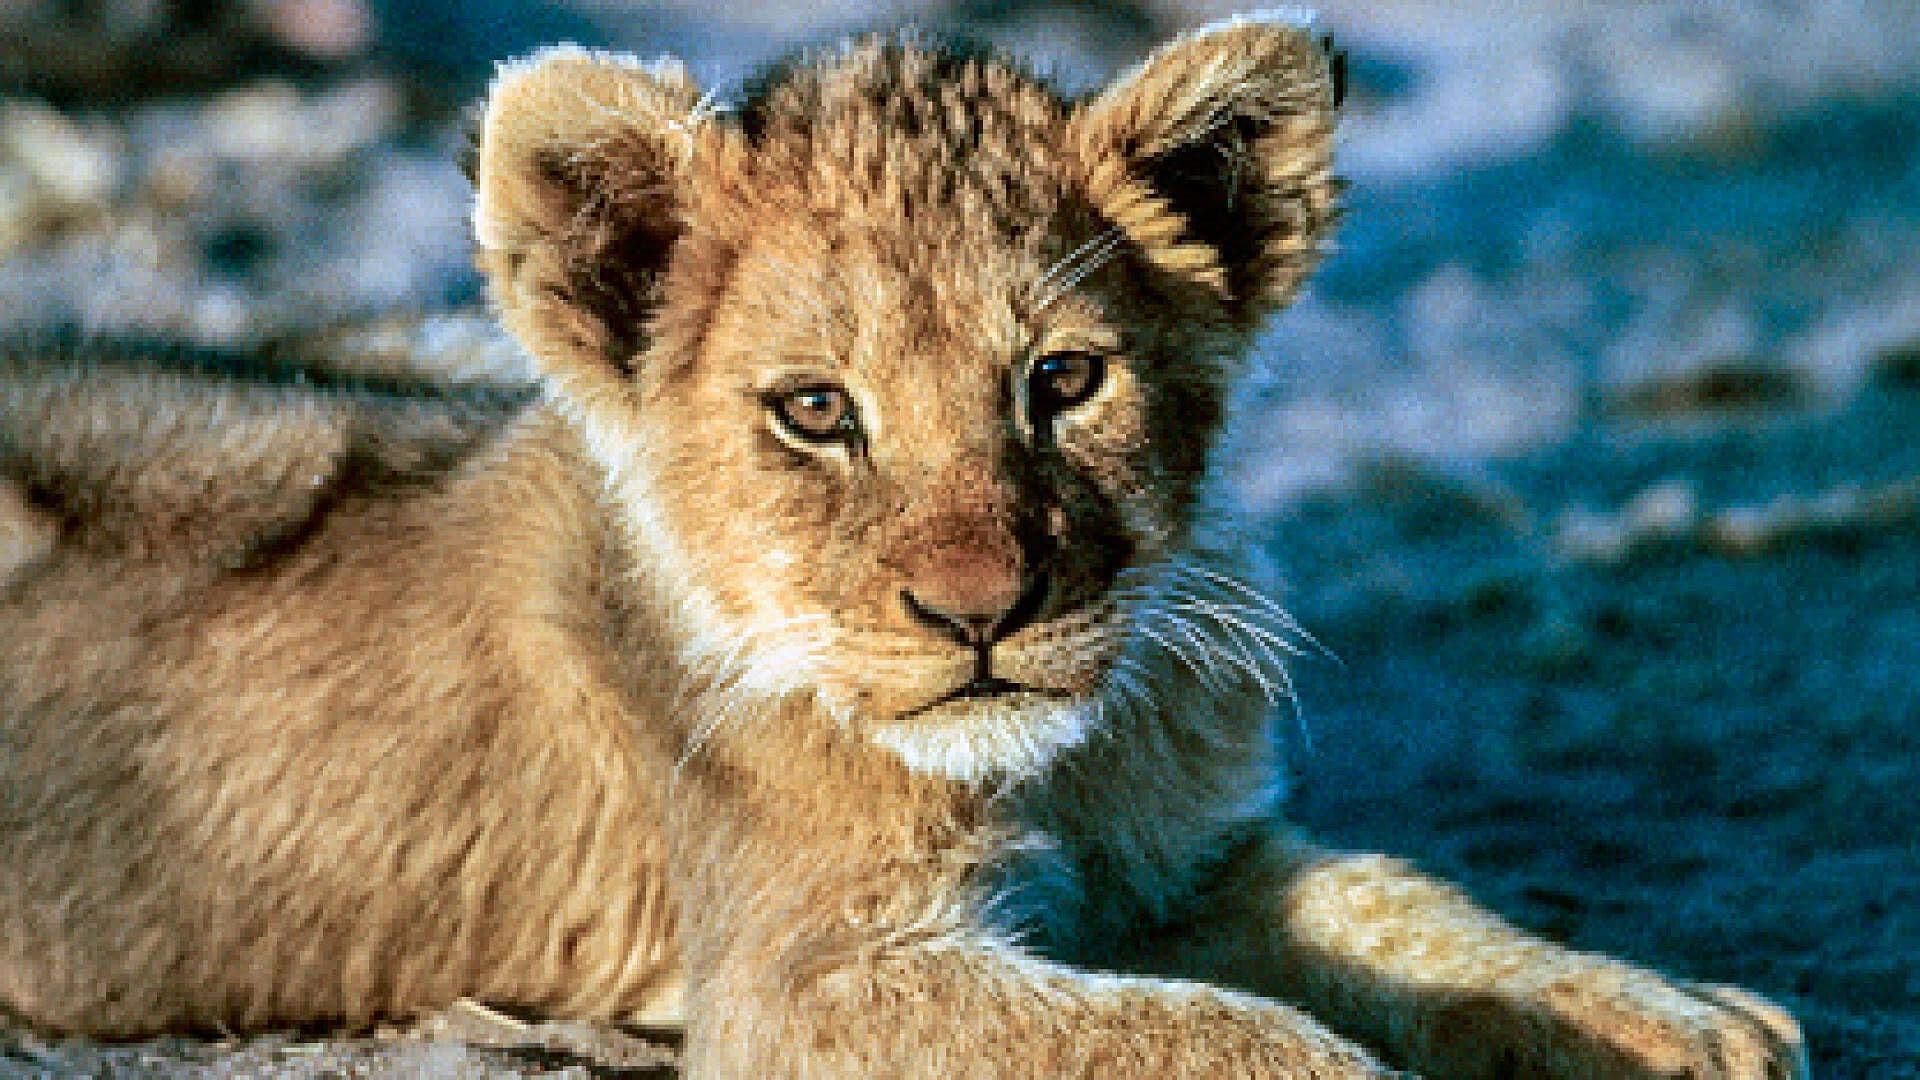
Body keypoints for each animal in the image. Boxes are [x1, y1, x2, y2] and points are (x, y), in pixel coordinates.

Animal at [0, 15, 1806, 1078]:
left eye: (1063, 381)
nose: (982, 613)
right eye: (815, 412)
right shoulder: (800, 982)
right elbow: (1229, 1044)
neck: (1062, 759)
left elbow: (1394, 900)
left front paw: (1673, 1013)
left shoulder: (1179, 865)